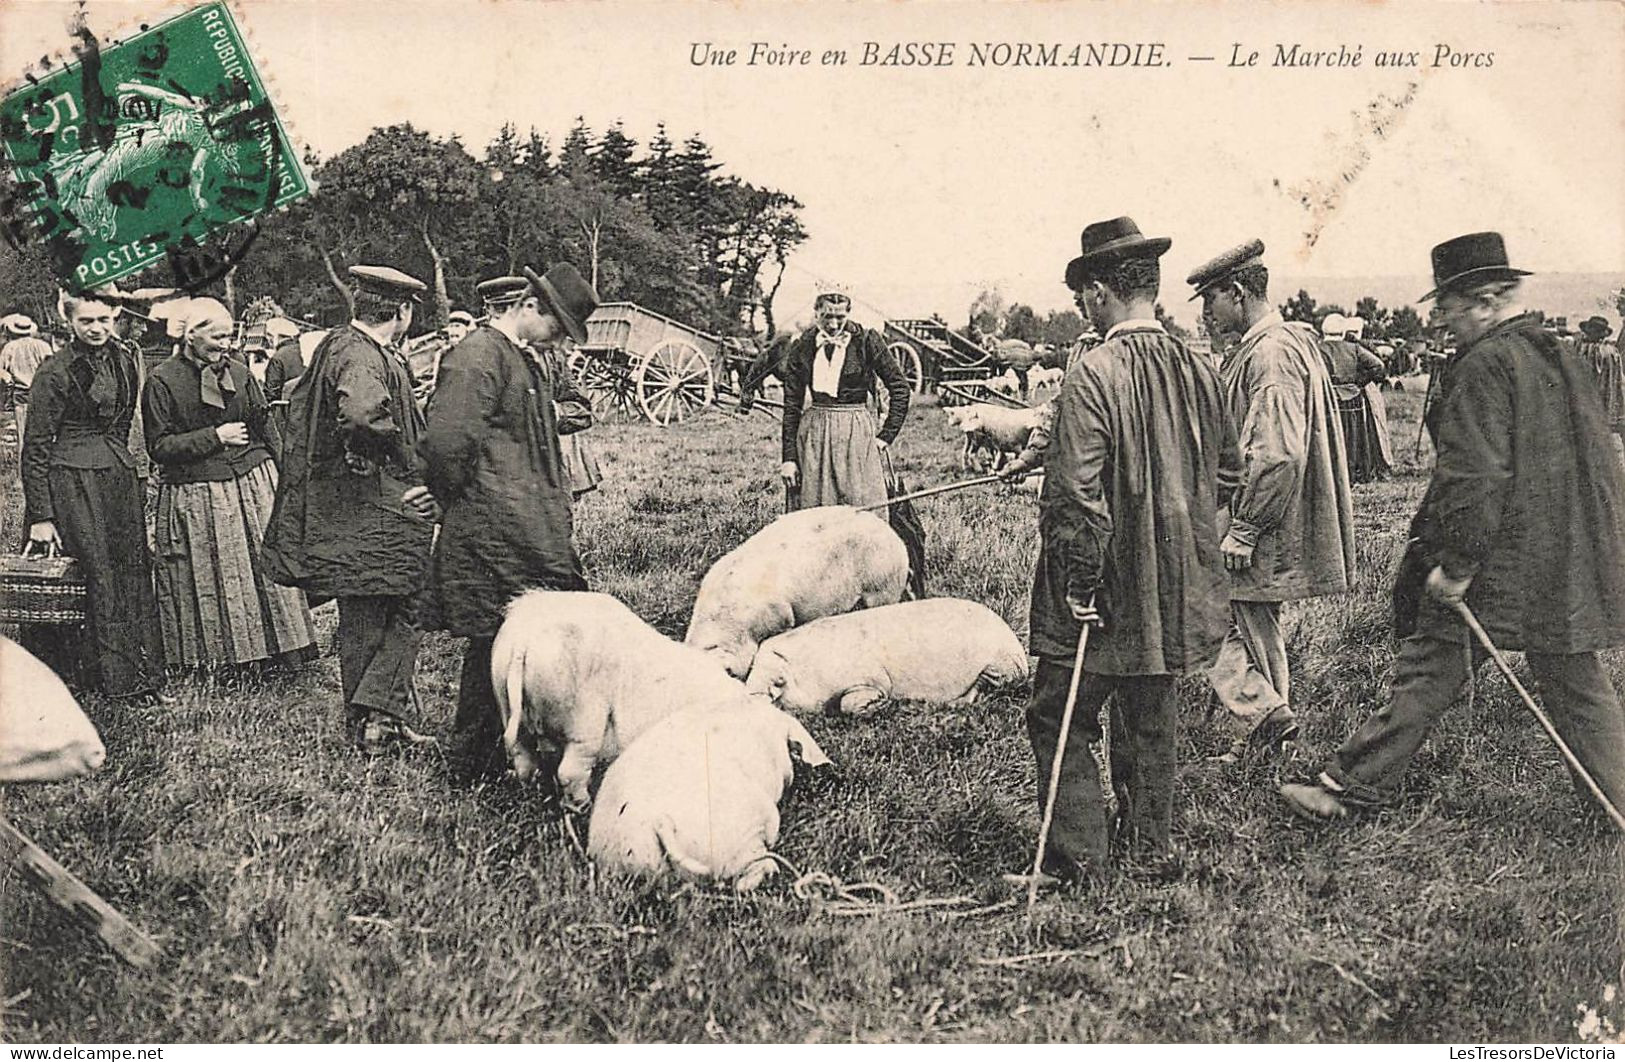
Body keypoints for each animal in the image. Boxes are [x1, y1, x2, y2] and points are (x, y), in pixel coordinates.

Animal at [490, 591, 744, 808]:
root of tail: (524, 640)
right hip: (584, 717)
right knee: (570, 771)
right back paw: (583, 806)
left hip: (504, 698)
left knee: (523, 758)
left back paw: (531, 794)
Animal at [744, 597, 1027, 714]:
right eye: (751, 671)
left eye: (777, 680)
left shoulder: (870, 678)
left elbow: (849, 703)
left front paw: (878, 703)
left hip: (999, 665)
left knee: (982, 688)